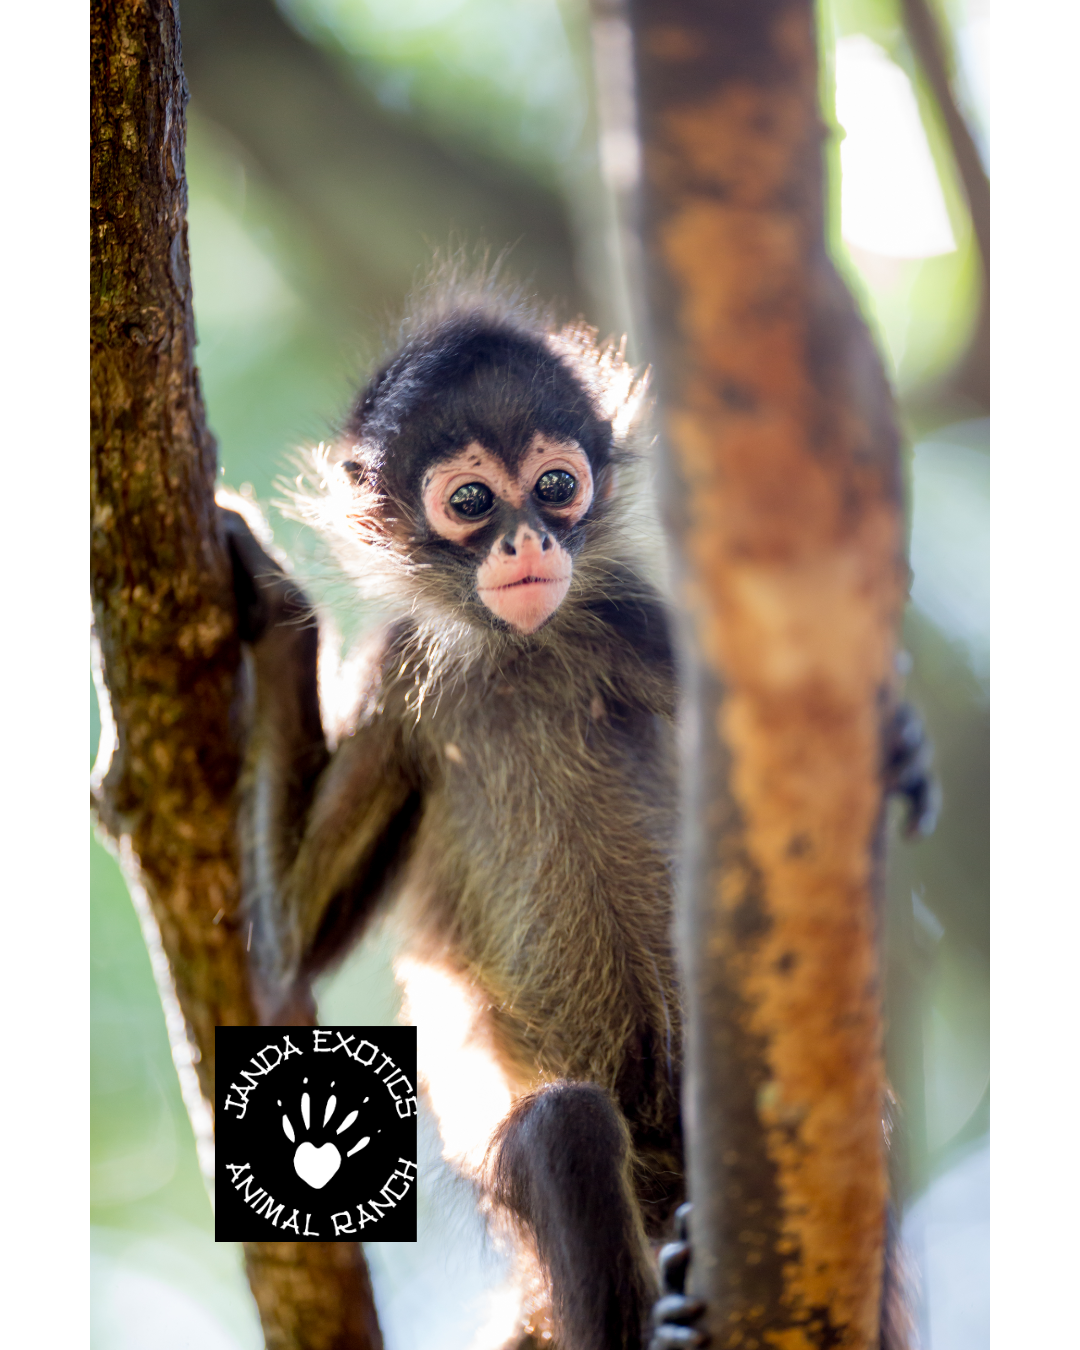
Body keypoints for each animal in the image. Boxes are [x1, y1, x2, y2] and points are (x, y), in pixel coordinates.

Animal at [221, 279, 936, 1350]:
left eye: (556, 484)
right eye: (471, 502)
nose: (530, 539)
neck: (518, 653)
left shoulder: (629, 619)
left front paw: (896, 746)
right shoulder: (398, 673)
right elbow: (280, 953)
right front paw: (274, 602)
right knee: (561, 1130)